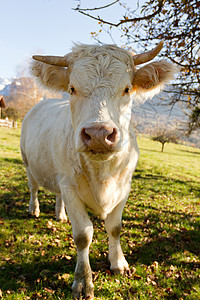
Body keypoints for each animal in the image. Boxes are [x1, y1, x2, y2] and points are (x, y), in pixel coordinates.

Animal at [20, 41, 177, 298]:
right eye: (72, 89)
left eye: (126, 89)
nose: (98, 134)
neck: (103, 174)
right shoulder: (71, 188)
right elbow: (83, 235)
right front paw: (83, 281)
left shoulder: (124, 187)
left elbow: (115, 228)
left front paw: (119, 263)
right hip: (28, 162)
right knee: (33, 187)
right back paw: (34, 209)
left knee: (57, 194)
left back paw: (60, 215)